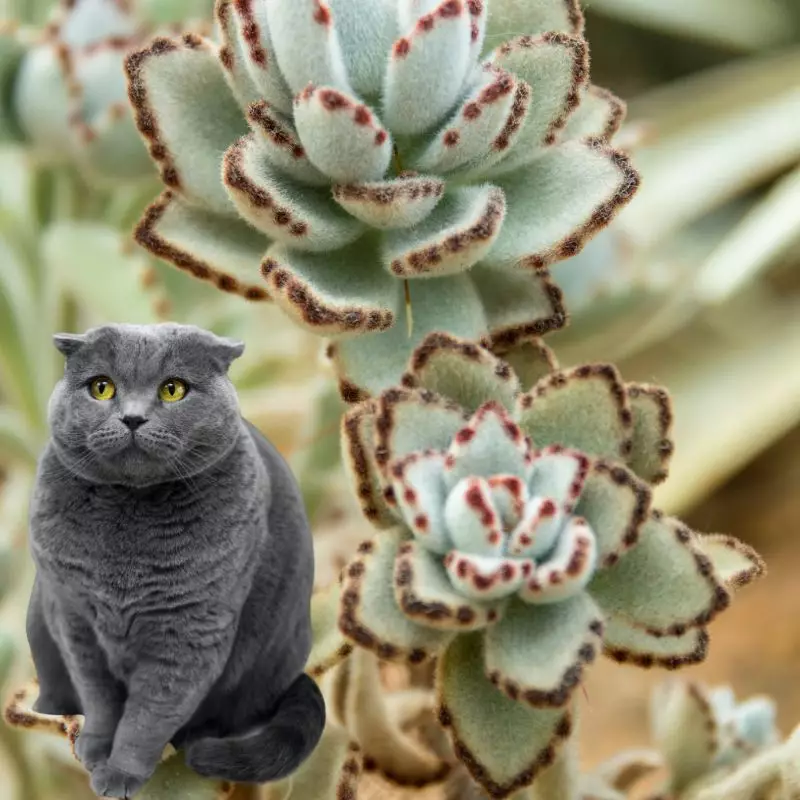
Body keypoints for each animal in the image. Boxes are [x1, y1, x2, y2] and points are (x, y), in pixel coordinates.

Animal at [26, 324, 324, 800]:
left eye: (173, 389)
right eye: (101, 387)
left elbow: (148, 715)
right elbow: (100, 699)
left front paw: (121, 773)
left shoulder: (188, 631)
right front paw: (95, 750)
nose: (132, 418)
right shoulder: (76, 622)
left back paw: (196, 740)